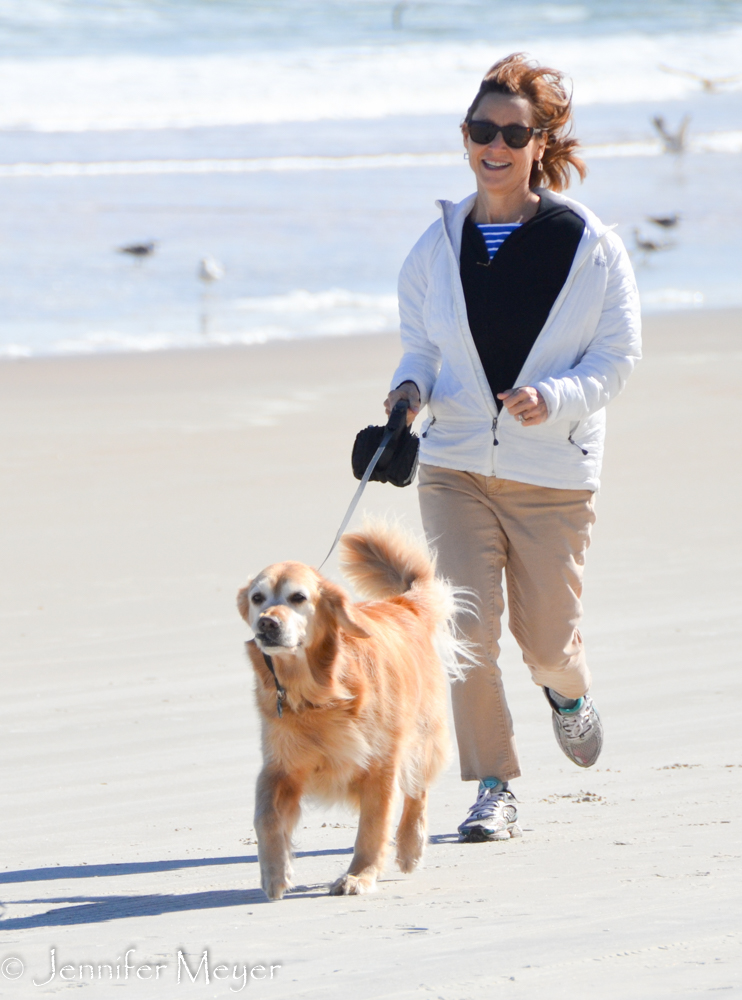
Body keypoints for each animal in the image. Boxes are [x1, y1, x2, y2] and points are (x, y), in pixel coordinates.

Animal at [238, 524, 468, 900]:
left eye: (298, 597)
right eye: (258, 598)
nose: (267, 624)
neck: (317, 693)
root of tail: (403, 604)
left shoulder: (381, 765)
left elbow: (373, 827)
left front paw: (359, 875)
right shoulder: (280, 766)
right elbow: (266, 817)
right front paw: (275, 873)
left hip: (422, 737)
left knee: (417, 792)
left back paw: (410, 846)